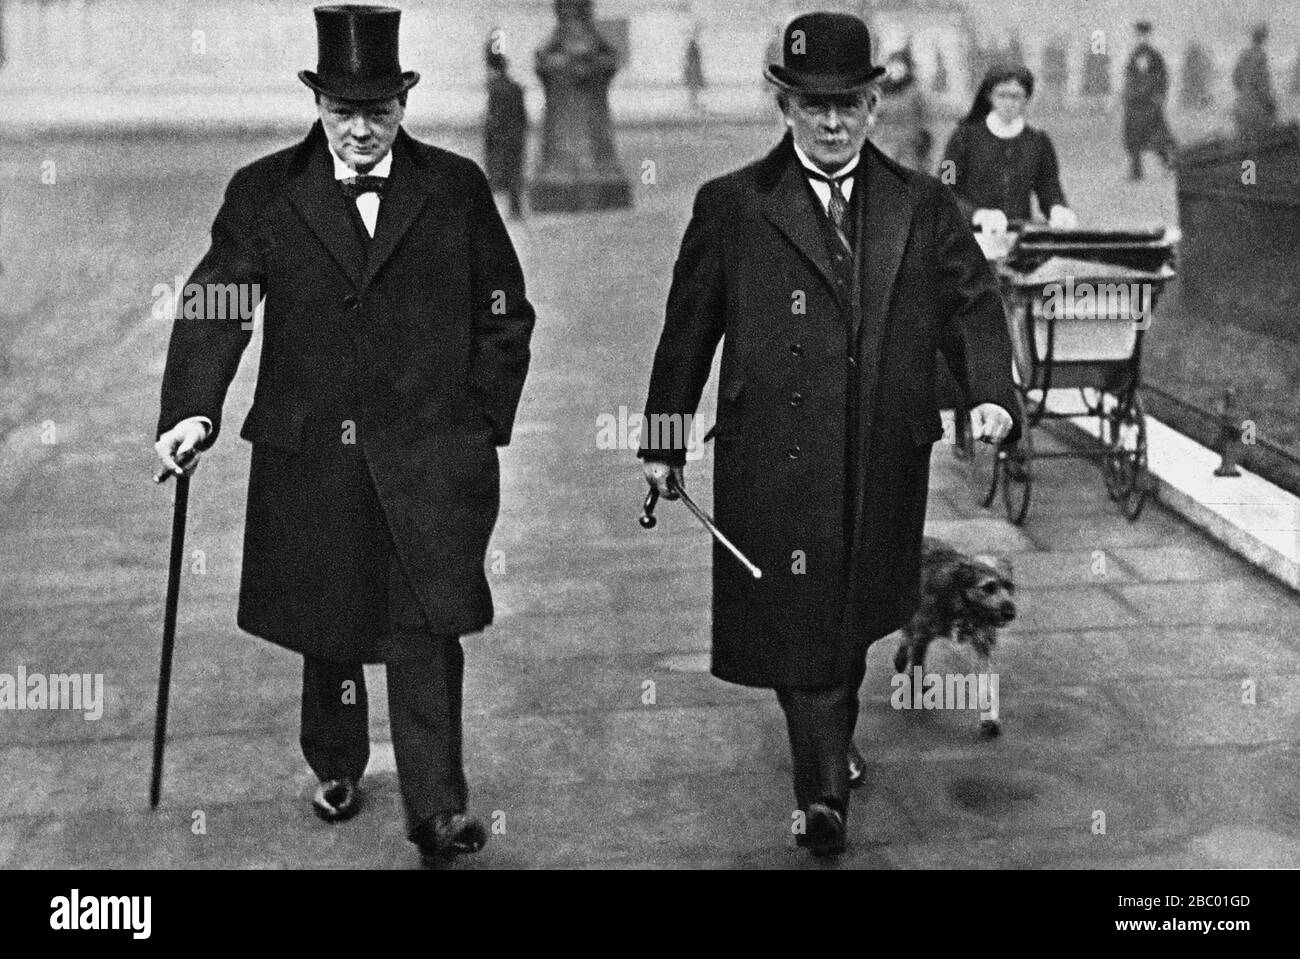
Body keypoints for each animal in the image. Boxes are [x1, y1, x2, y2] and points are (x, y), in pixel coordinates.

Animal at [894, 537, 1013, 732]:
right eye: (988, 587)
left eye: (1009, 587)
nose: (1010, 612)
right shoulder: (921, 631)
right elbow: (916, 658)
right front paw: (914, 684)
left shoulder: (983, 645)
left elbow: (986, 683)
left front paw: (990, 718)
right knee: (907, 635)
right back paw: (902, 659)